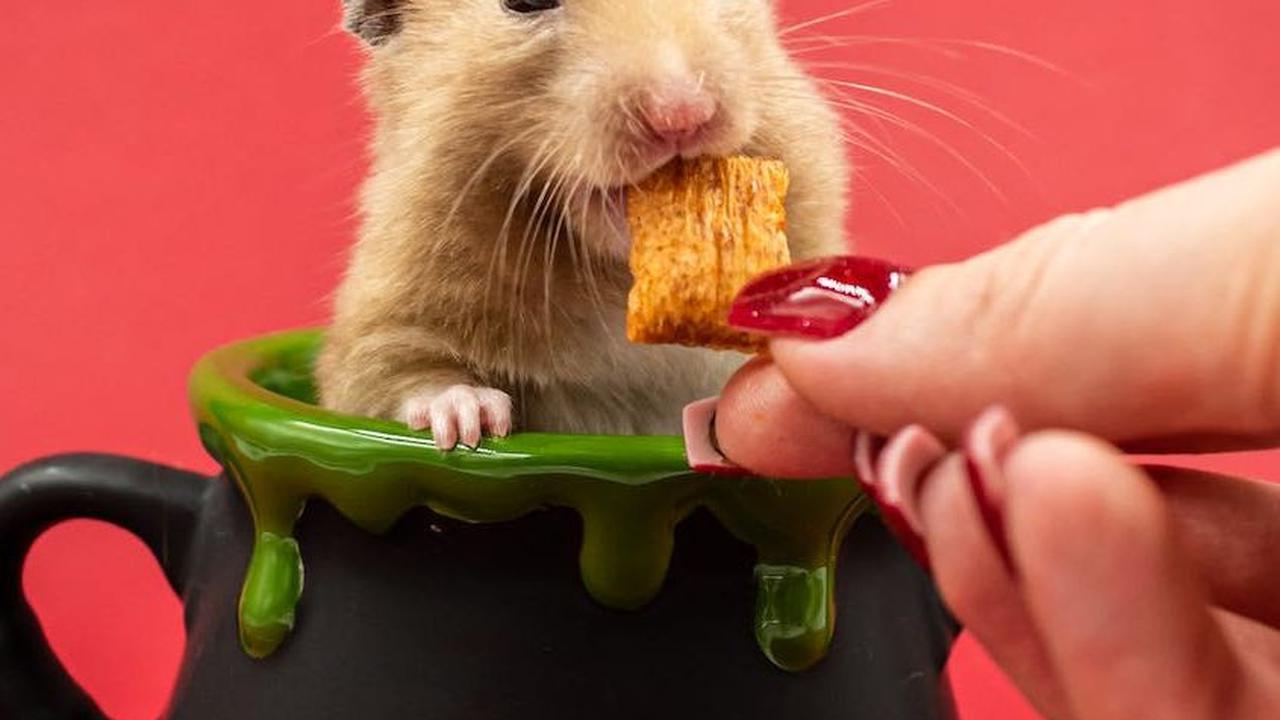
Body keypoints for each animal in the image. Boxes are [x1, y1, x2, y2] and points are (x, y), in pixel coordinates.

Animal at [317, 0, 849, 450]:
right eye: (526, 2)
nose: (681, 115)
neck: (615, 276)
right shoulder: (384, 319)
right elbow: (396, 377)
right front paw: (472, 423)